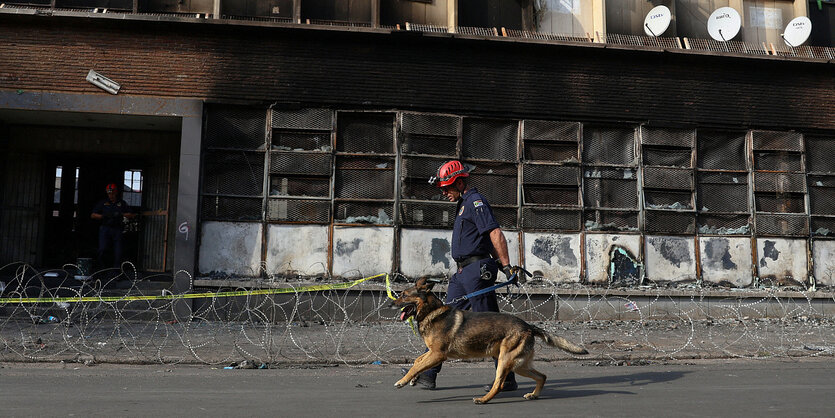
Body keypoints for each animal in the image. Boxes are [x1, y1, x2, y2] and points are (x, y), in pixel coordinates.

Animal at [394, 280, 584, 404]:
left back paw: (483, 399)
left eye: (403, 295)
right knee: (542, 376)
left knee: (499, 384)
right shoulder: (433, 352)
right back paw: (534, 395)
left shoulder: (438, 354)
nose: (390, 303)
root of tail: (528, 326)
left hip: (505, 360)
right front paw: (413, 379)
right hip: (519, 365)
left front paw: (403, 381)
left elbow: (417, 365)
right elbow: (418, 361)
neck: (431, 311)